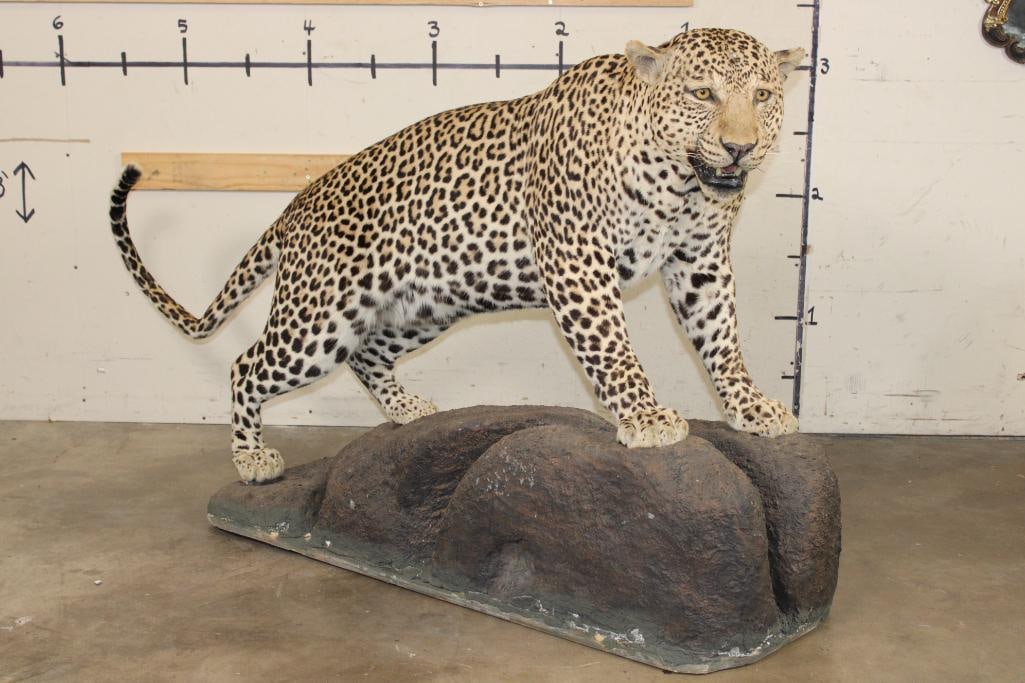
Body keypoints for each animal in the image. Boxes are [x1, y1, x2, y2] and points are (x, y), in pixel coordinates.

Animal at [109, 28, 805, 484]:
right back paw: (252, 458)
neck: (679, 182)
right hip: (319, 321)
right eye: (702, 94)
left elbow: (722, 338)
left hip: (421, 308)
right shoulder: (579, 262)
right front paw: (646, 415)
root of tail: (295, 207)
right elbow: (613, 348)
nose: (740, 148)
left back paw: (407, 411)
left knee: (367, 356)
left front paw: (750, 407)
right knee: (245, 365)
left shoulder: (700, 261)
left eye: (764, 96)